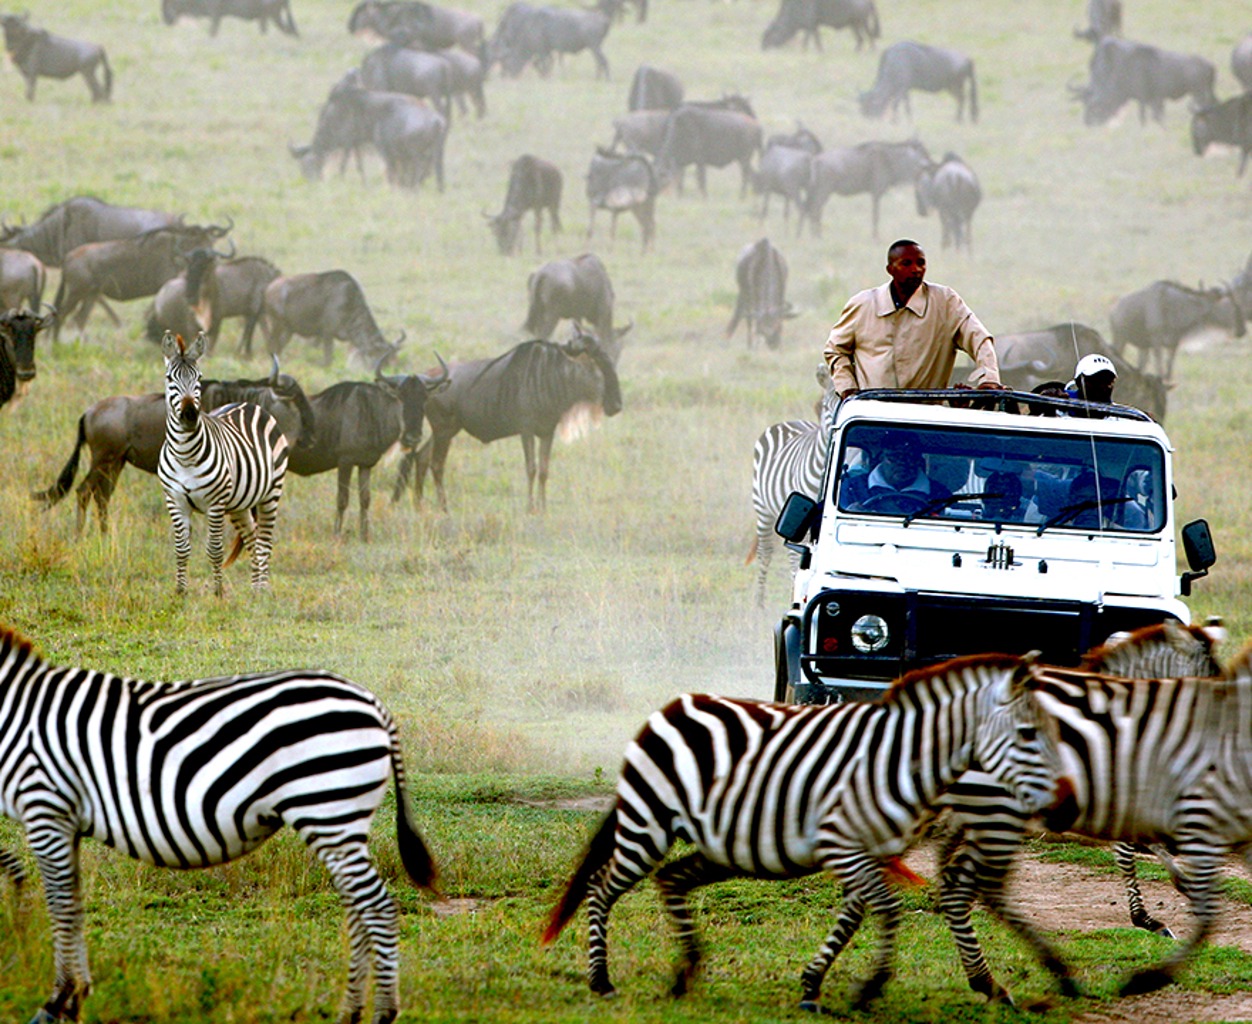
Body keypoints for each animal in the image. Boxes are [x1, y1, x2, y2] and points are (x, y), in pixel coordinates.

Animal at [0, 623, 436, 1024]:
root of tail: (374, 704)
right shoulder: (64, 818)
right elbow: (72, 902)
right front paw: (74, 997)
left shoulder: (45, 807)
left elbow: (61, 904)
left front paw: (57, 1001)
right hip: (337, 821)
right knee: (357, 907)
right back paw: (349, 1012)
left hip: (328, 809)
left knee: (376, 907)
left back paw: (382, 1013)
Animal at [158, 330, 288, 596]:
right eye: (169, 378)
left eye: (199, 378)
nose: (190, 415)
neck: (184, 454)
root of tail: (249, 404)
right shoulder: (175, 501)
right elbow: (181, 549)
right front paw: (180, 592)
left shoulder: (215, 503)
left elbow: (215, 549)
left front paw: (218, 593)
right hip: (239, 504)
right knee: (252, 537)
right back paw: (254, 589)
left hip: (271, 492)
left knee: (265, 541)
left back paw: (263, 590)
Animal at [542, 652, 1059, 1012]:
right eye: (1029, 734)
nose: (1057, 800)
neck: (898, 759)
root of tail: (671, 707)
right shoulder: (842, 844)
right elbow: (887, 908)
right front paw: (869, 986)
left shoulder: (867, 850)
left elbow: (854, 915)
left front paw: (815, 984)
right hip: (647, 824)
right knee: (601, 886)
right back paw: (601, 980)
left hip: (718, 845)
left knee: (670, 879)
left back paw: (685, 971)